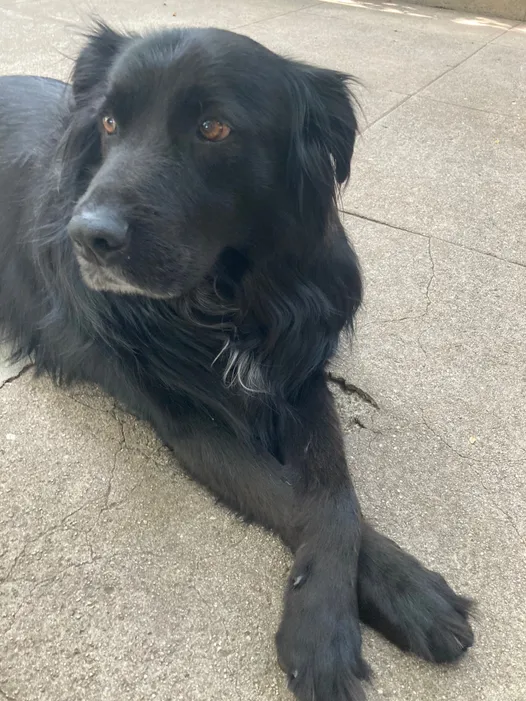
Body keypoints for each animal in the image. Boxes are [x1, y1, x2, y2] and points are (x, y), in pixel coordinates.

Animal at [0, 23, 476, 700]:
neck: (227, 298)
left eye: (214, 128)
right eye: (110, 123)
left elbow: (333, 491)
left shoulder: (300, 376)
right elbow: (293, 496)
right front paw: (325, 632)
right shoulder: (184, 418)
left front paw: (404, 593)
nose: (85, 237)